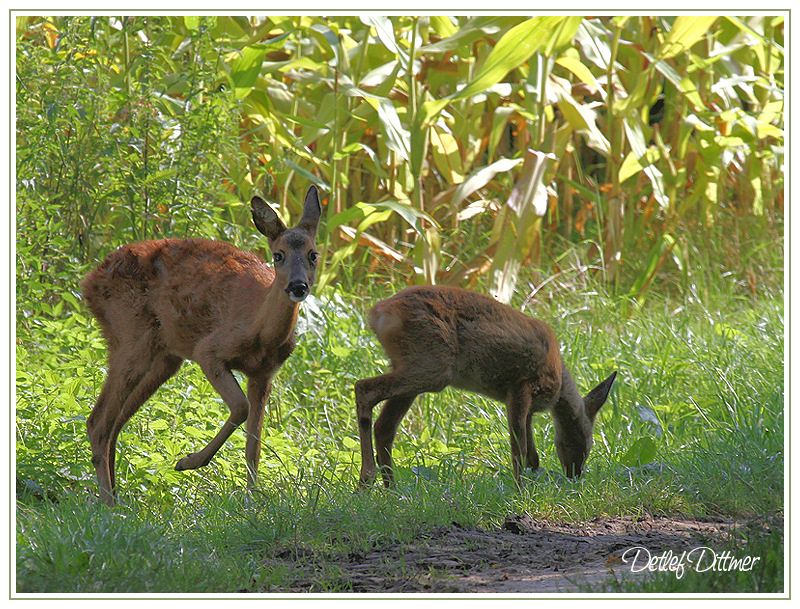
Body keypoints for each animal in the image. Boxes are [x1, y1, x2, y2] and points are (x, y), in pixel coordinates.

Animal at [79, 184, 320, 504]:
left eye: (313, 254)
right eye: (278, 255)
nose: (298, 286)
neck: (261, 332)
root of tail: (88, 283)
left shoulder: (264, 374)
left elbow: (254, 446)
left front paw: (254, 500)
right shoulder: (209, 350)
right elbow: (240, 407)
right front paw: (188, 461)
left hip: (165, 357)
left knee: (116, 422)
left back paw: (117, 496)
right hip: (130, 336)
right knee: (98, 422)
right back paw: (109, 502)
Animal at [356, 282, 620, 486]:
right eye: (582, 439)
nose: (575, 475)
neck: (559, 384)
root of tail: (378, 313)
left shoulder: (528, 409)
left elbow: (533, 456)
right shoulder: (521, 387)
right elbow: (520, 450)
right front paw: (520, 491)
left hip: (412, 369)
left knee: (384, 427)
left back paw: (392, 490)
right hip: (432, 365)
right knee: (363, 388)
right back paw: (367, 478)